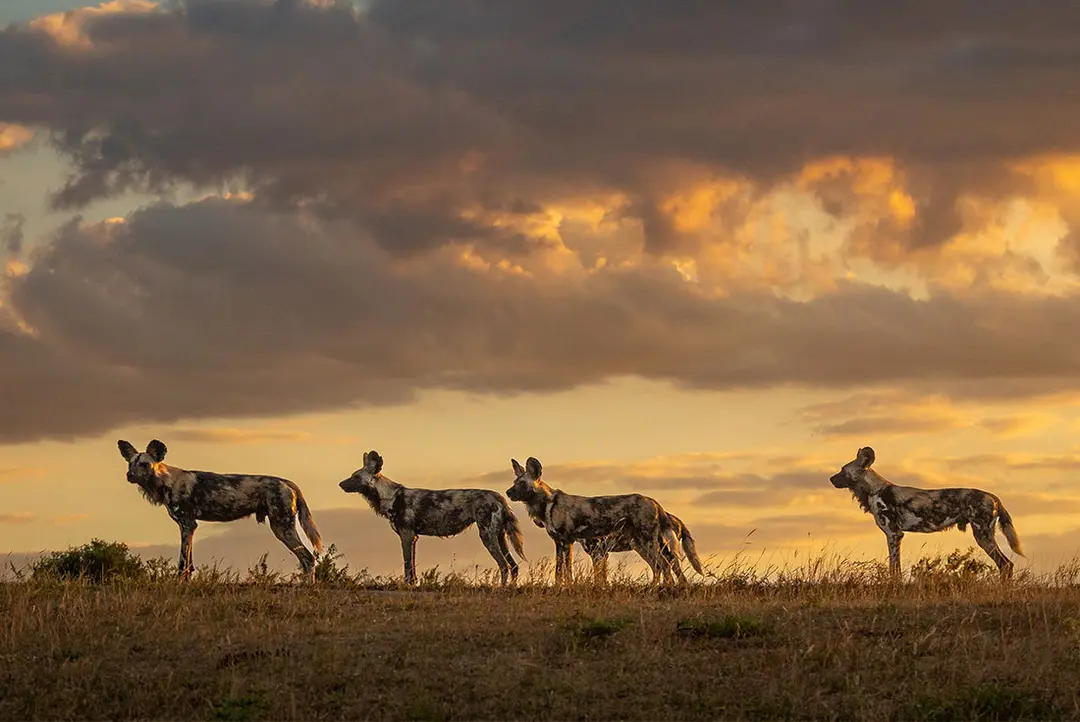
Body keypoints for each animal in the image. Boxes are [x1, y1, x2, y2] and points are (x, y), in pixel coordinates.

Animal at [118, 440, 321, 578]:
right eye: (130, 463)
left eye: (144, 464)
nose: (129, 475)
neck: (165, 481)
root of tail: (287, 482)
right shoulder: (189, 527)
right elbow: (189, 563)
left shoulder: (187, 525)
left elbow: (182, 563)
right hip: (281, 528)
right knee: (306, 560)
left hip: (282, 527)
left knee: (308, 558)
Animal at [334, 451, 524, 587]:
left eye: (356, 477)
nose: (340, 484)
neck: (391, 496)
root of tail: (499, 497)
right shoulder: (413, 538)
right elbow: (412, 567)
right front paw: (413, 584)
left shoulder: (406, 536)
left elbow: (407, 565)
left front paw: (407, 585)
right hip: (499, 537)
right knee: (513, 566)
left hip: (487, 536)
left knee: (504, 566)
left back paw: (500, 589)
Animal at [503, 459, 673, 582]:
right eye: (514, 483)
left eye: (522, 483)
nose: (507, 492)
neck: (547, 505)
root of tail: (653, 501)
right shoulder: (559, 543)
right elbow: (559, 572)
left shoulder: (567, 541)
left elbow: (568, 571)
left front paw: (569, 588)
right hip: (640, 545)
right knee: (658, 567)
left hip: (647, 541)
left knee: (664, 565)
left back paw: (665, 590)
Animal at [829, 442, 1023, 578]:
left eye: (842, 470)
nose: (830, 479)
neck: (874, 490)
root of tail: (993, 497)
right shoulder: (895, 536)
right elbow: (895, 568)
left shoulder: (893, 534)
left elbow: (894, 569)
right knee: (1006, 565)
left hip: (982, 535)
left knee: (1005, 564)